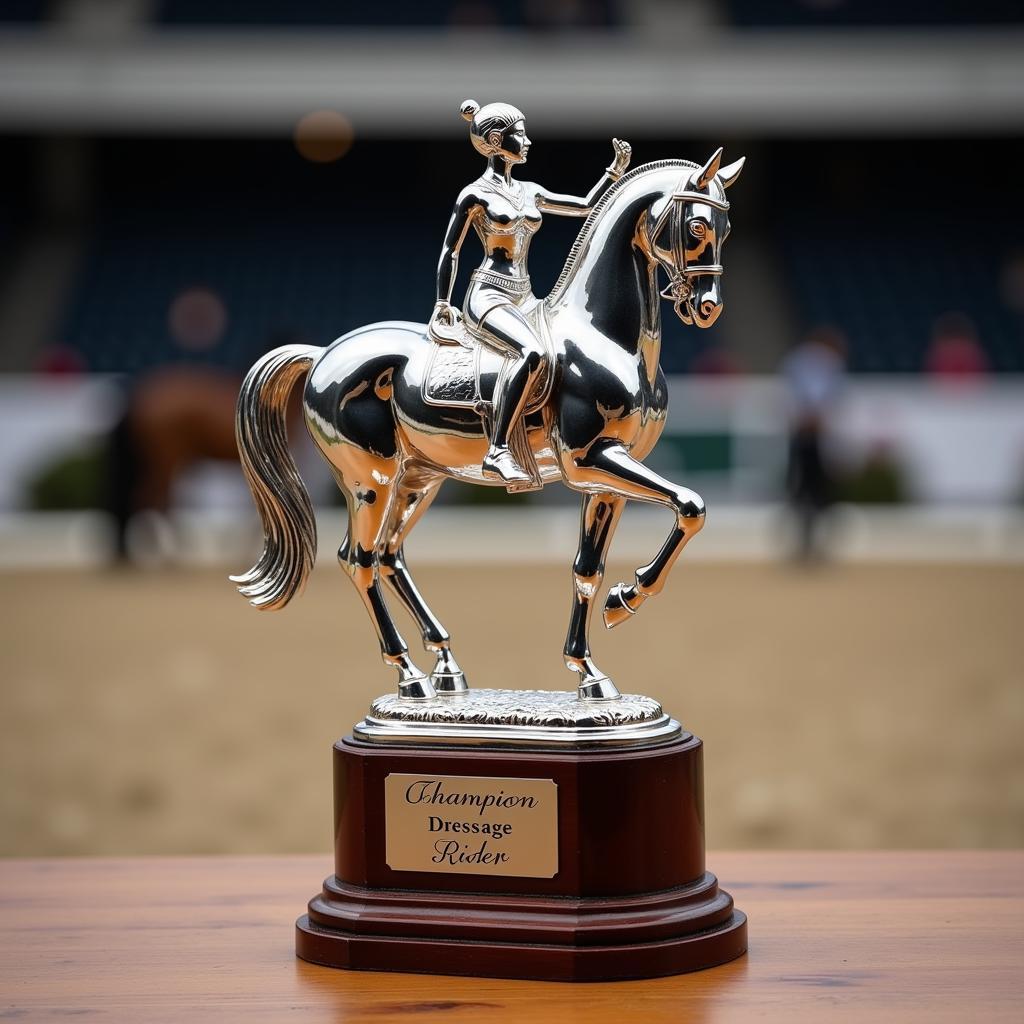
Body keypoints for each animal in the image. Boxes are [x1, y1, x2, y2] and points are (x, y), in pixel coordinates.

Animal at [232, 146, 745, 704]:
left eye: (727, 226)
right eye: (697, 226)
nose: (709, 308)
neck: (605, 335)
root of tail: (325, 351)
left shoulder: (607, 480)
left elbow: (588, 569)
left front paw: (592, 665)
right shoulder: (591, 462)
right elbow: (691, 505)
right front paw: (627, 598)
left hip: (418, 479)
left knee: (390, 556)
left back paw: (446, 667)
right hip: (371, 480)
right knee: (359, 559)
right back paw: (409, 676)